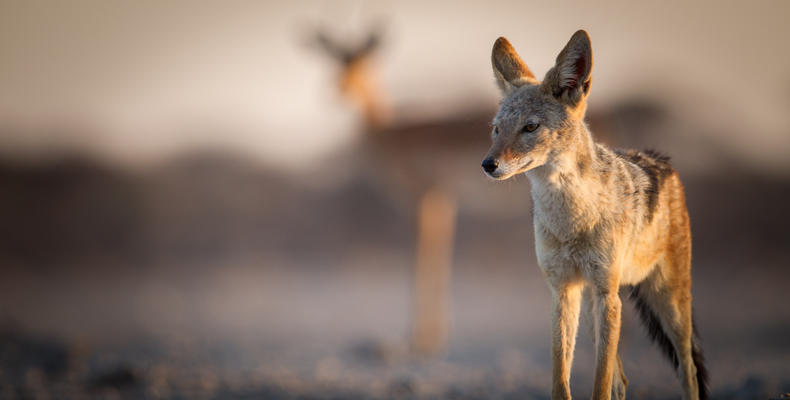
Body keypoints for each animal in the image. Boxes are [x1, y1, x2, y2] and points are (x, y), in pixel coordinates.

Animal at [310, 27, 492, 354]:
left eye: (363, 59)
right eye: (336, 59)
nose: (340, 88)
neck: (392, 132)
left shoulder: (426, 195)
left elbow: (423, 252)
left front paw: (420, 338)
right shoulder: (443, 198)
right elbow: (436, 251)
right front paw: (432, 336)